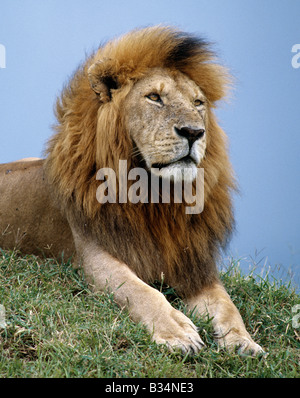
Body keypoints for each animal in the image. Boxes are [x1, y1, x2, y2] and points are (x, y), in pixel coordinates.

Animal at [0, 26, 264, 356]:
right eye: (154, 97)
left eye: (198, 103)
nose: (194, 132)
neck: (157, 197)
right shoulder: (96, 258)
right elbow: (142, 292)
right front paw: (176, 331)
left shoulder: (195, 266)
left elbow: (227, 305)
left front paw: (244, 342)